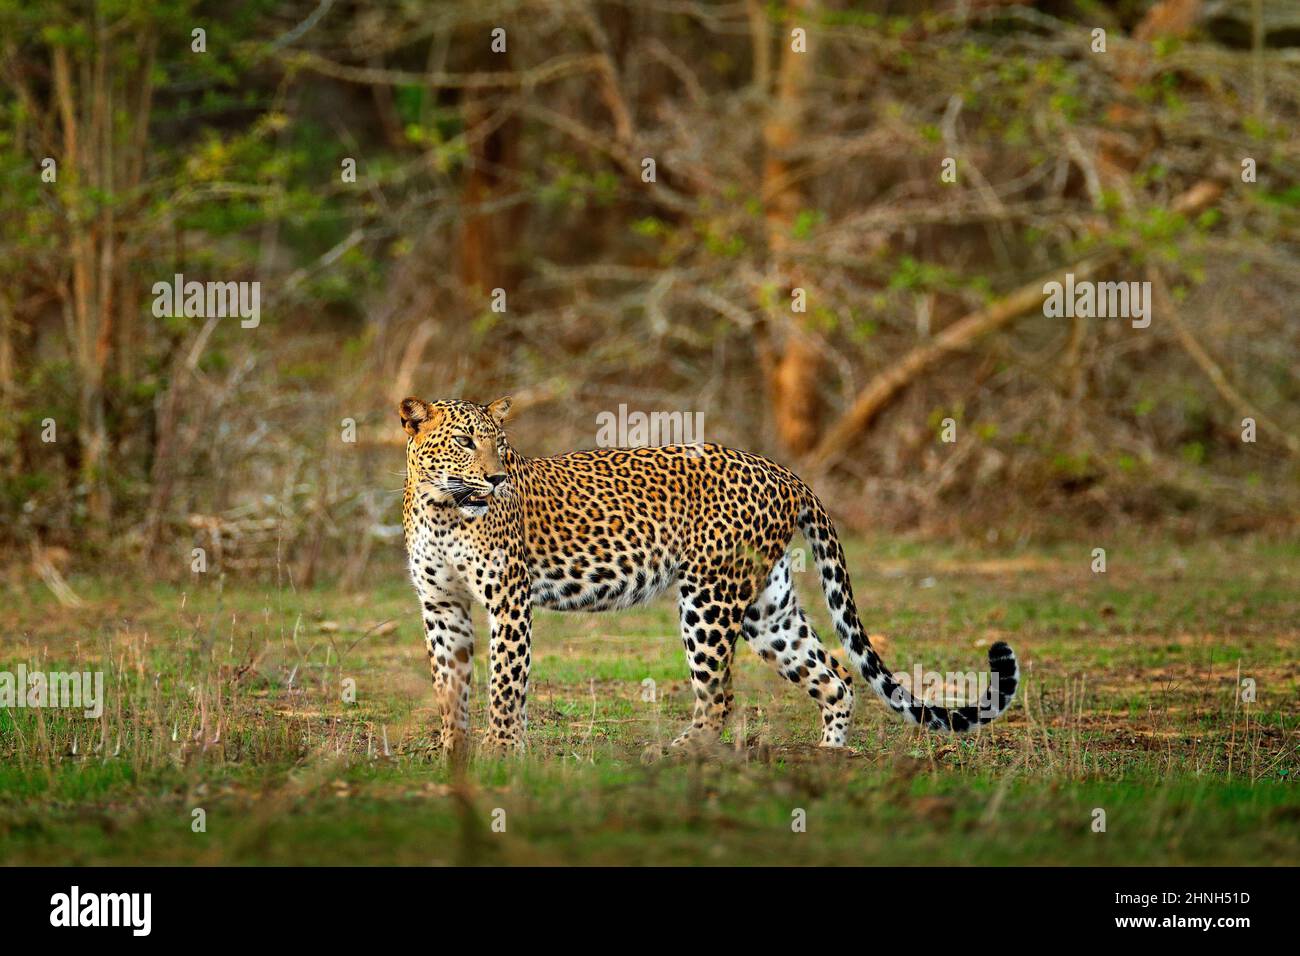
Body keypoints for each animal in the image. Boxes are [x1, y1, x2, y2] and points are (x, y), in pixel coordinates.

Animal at [395, 395, 1013, 754]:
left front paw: (502, 753)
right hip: (767, 608)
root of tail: (783, 471)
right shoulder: (441, 606)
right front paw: (452, 752)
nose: (497, 478)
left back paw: (679, 753)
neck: (442, 507)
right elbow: (450, 684)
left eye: (502, 446)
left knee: (720, 695)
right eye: (465, 442)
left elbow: (505, 683)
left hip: (709, 598)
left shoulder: (508, 599)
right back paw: (830, 758)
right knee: (834, 677)